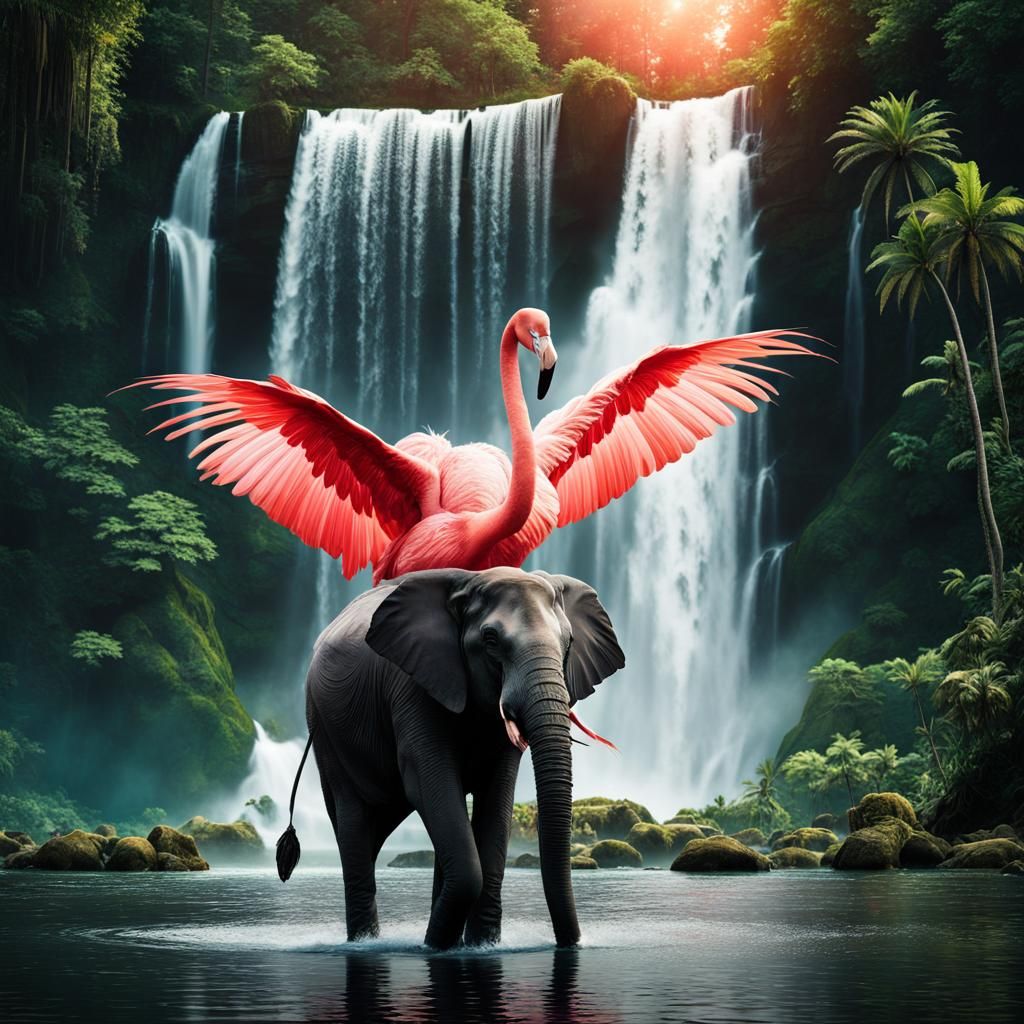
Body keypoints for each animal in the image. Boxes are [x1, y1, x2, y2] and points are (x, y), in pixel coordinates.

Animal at [292, 565, 624, 950]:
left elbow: (498, 792)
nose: (571, 943)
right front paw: (436, 946)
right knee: (354, 821)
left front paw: (481, 946)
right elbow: (426, 782)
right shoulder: (411, 686)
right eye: (491, 640)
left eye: (568, 642)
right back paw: (366, 942)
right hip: (324, 727)